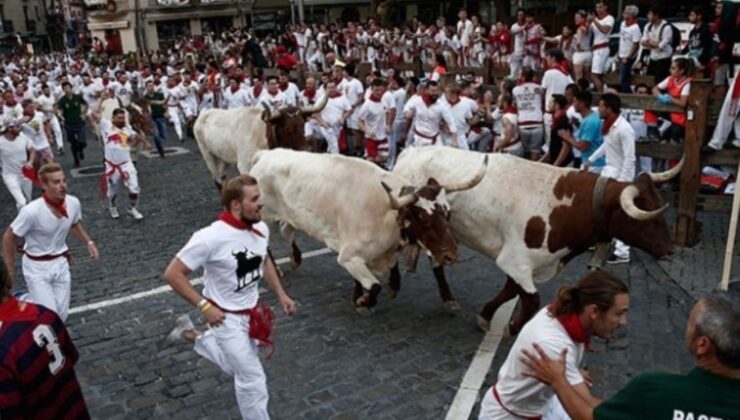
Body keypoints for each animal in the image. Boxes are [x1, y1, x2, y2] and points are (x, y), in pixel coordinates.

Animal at [194, 97, 326, 189]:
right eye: (288, 127)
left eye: (303, 124)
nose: (307, 149)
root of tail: (204, 113)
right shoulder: (244, 166)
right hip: (206, 153)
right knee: (216, 178)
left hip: (224, 156)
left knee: (221, 176)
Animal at [251, 149, 488, 314]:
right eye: (422, 218)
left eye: (448, 213)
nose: (451, 255)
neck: (385, 214)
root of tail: (266, 154)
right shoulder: (348, 256)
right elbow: (374, 286)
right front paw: (364, 301)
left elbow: (380, 282)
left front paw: (361, 296)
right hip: (263, 216)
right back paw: (276, 269)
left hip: (290, 215)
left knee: (286, 230)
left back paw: (295, 258)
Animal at [394, 146, 684, 334]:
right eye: (644, 217)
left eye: (658, 204)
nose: (670, 250)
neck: (569, 206)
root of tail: (410, 151)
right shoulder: (516, 260)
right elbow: (531, 300)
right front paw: (512, 327)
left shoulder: (523, 262)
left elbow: (511, 290)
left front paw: (486, 315)